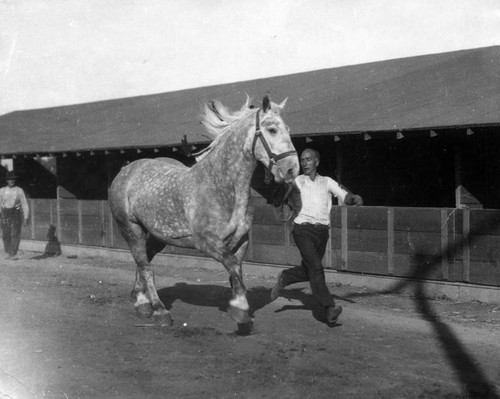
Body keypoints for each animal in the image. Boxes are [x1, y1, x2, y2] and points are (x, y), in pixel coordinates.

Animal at [108, 94, 296, 328]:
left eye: (287, 128)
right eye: (272, 129)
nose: (292, 169)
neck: (220, 185)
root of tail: (126, 170)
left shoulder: (241, 241)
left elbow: (236, 271)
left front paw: (240, 305)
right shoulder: (207, 242)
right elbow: (233, 266)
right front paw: (240, 310)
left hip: (156, 236)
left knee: (143, 262)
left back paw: (141, 302)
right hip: (130, 229)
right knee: (146, 267)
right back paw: (159, 311)